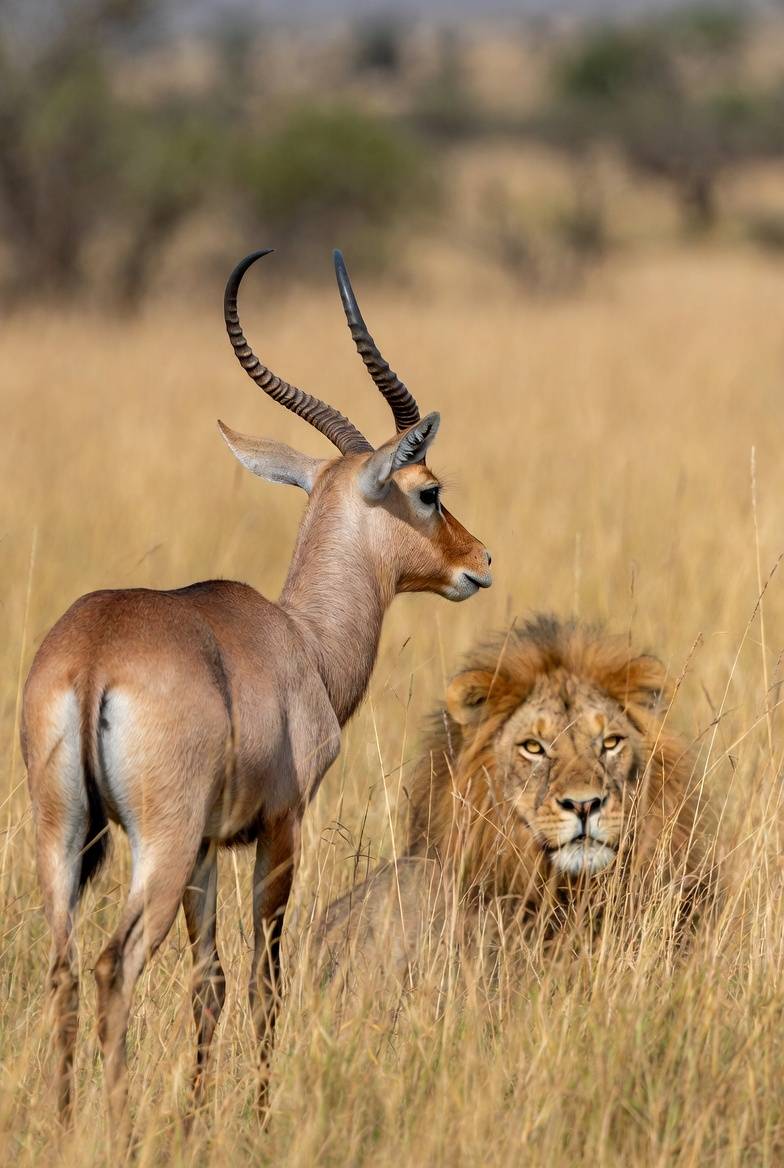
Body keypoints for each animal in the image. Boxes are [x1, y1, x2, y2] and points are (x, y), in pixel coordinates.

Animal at [22, 248, 492, 1131]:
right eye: (429, 489)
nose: (479, 560)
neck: (298, 640)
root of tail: (95, 654)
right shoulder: (279, 829)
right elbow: (266, 981)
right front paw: (260, 1116)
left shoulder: (211, 847)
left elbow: (209, 984)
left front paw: (201, 1118)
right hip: (158, 847)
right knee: (110, 967)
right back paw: (119, 1126)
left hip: (65, 839)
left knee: (64, 966)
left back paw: (66, 1124)